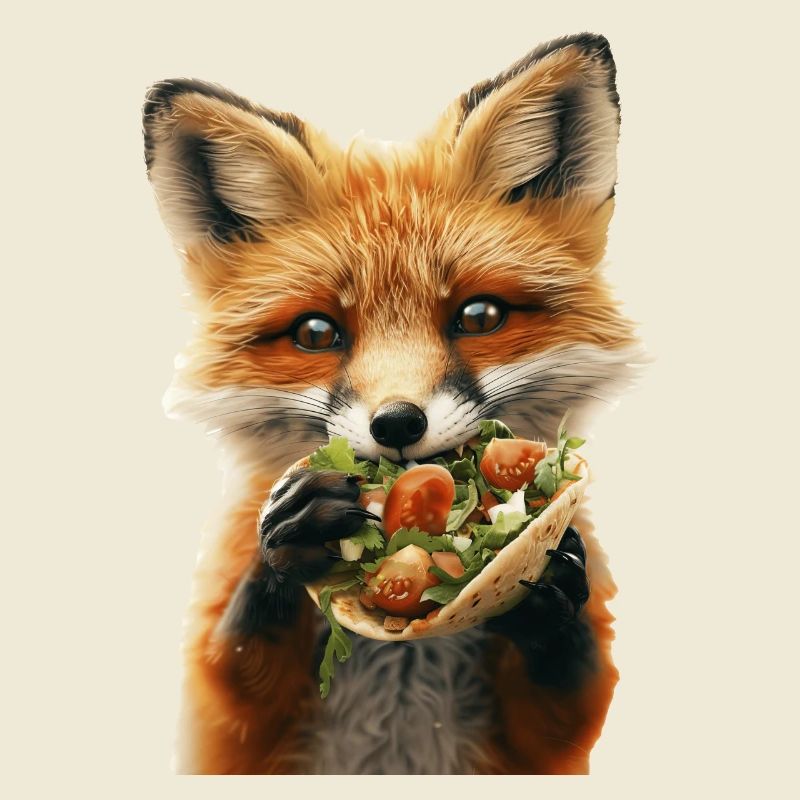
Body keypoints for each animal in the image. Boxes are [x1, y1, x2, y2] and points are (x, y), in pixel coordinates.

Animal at [143, 32, 641, 774]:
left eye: (480, 316)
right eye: (316, 333)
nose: (398, 422)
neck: (409, 654)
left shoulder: (550, 739)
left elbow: (565, 695)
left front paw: (550, 591)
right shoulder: (219, 726)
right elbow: (235, 670)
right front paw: (290, 532)